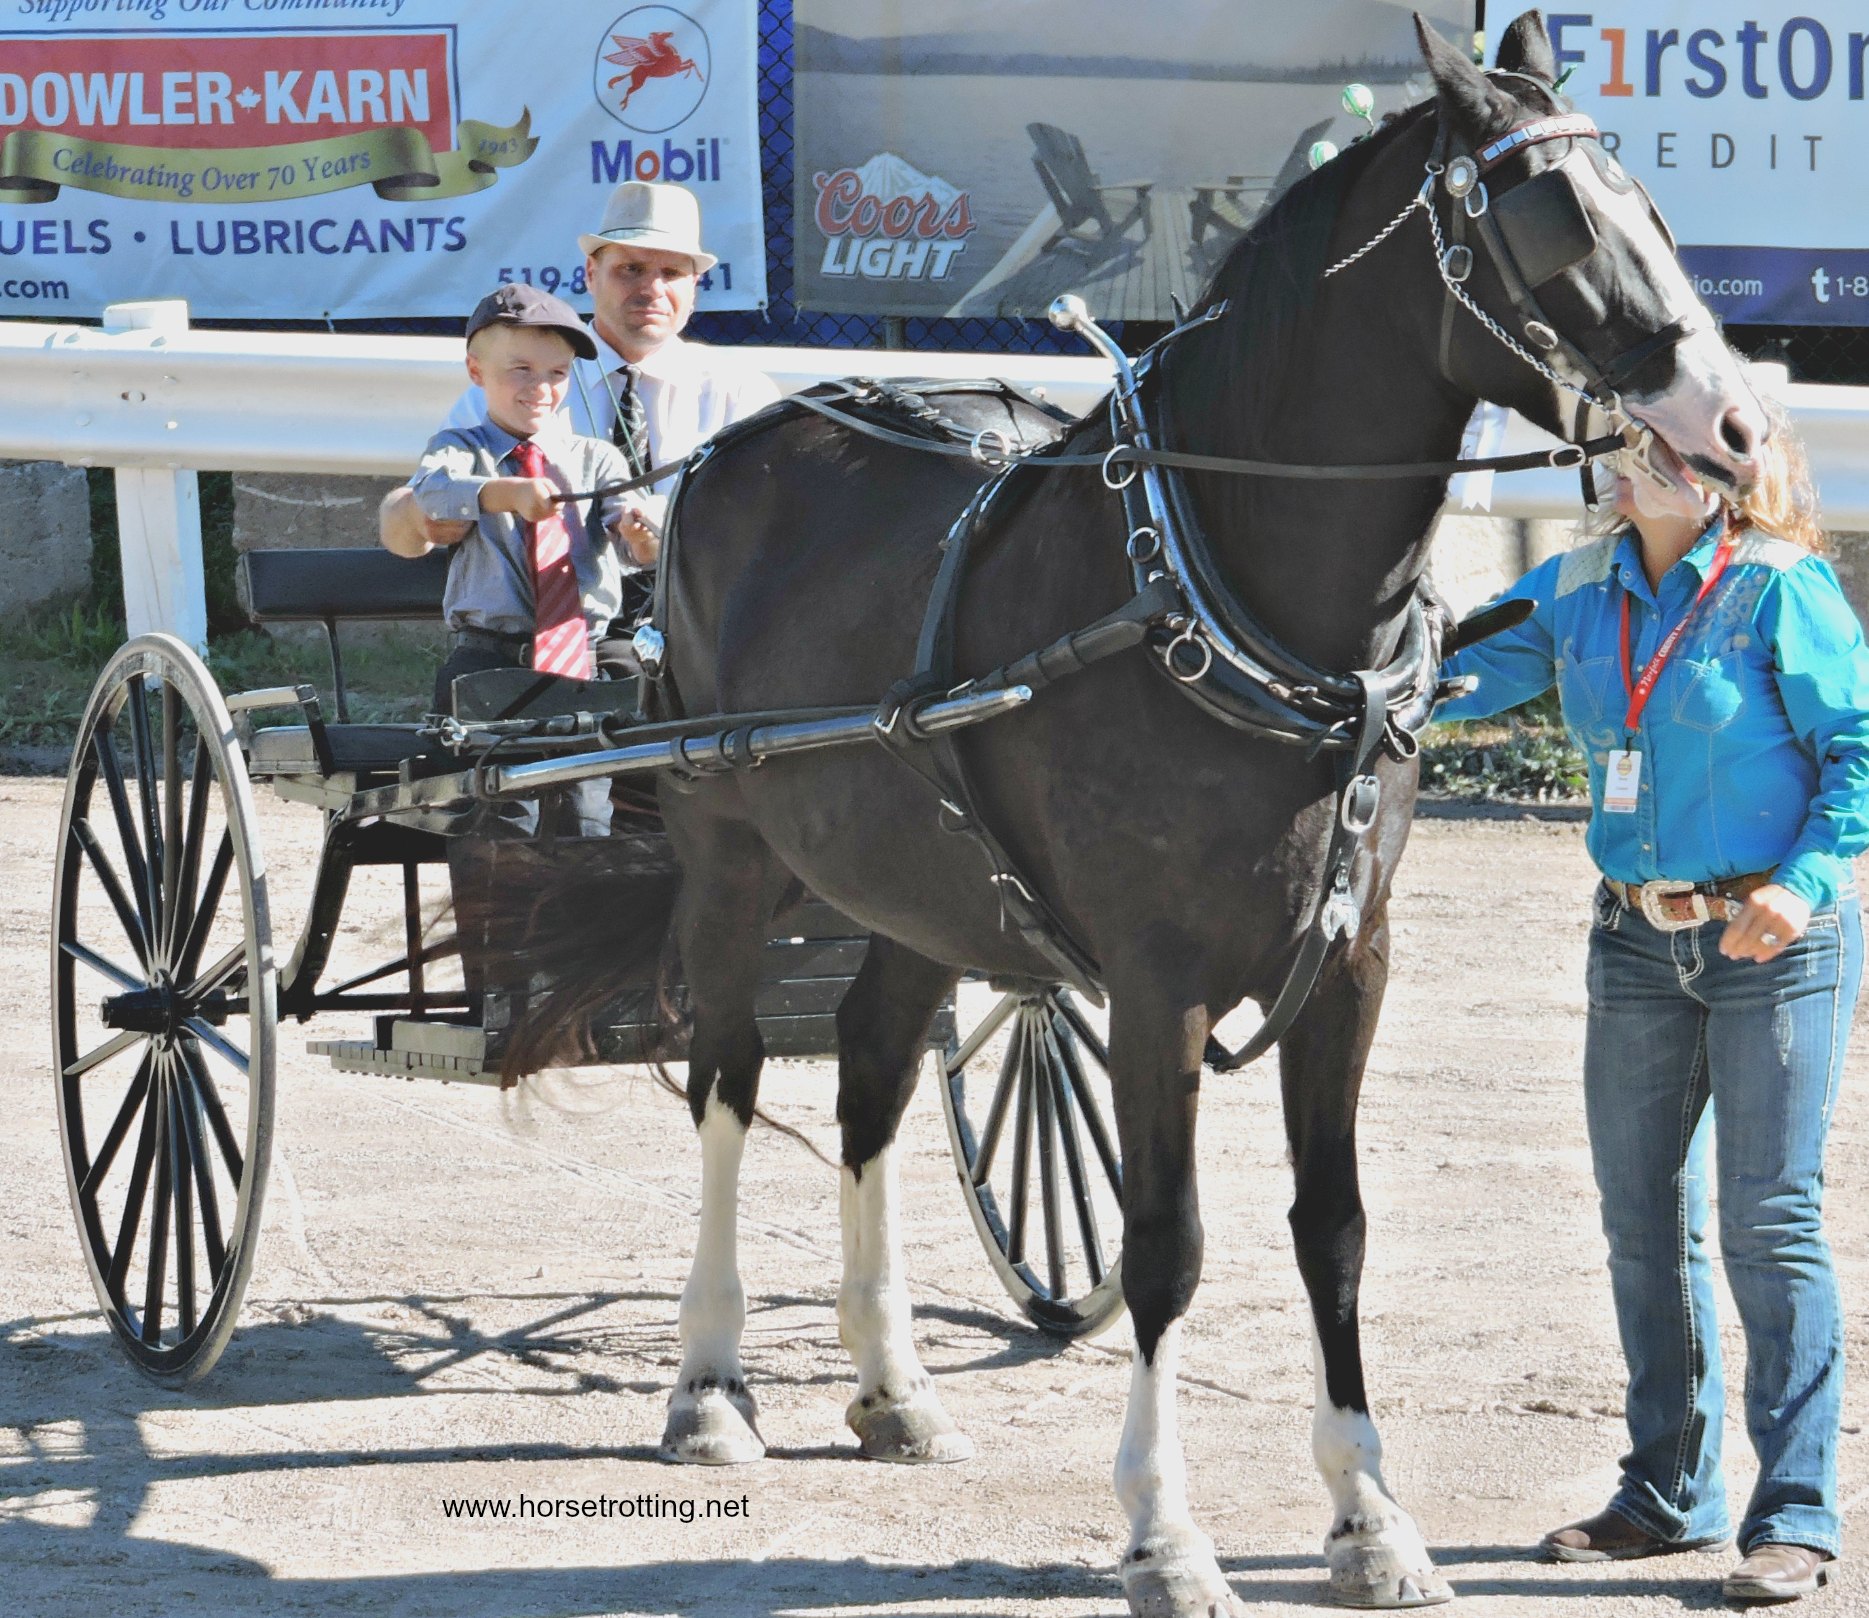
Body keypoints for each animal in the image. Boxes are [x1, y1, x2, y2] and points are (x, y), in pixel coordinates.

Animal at [515, 13, 1767, 1613]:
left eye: (1653, 209)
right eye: (1554, 228)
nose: (1736, 424)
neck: (1226, 592)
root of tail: (743, 439)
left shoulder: (1350, 965)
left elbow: (1334, 1229)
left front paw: (1369, 1514)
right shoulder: (1155, 982)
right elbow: (1165, 1244)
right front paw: (1166, 1532)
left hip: (921, 883)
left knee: (869, 1074)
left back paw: (892, 1385)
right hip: (730, 849)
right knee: (728, 1077)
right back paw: (711, 1385)